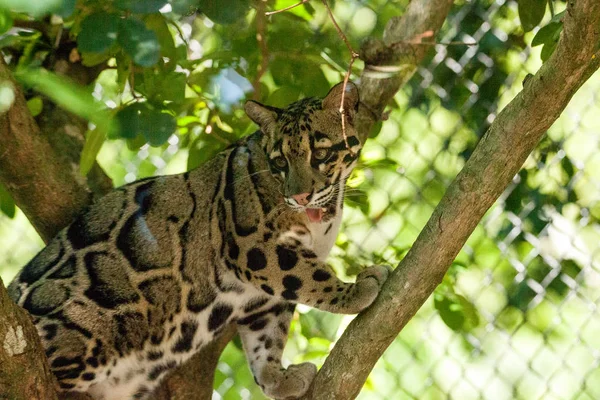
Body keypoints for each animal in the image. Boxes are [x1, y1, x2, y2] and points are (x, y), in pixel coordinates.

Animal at [8, 82, 390, 400]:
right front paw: (355, 291)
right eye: (280, 161)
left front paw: (276, 379)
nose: (299, 196)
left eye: (321, 155)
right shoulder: (254, 246)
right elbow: (311, 279)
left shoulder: (264, 297)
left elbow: (267, 337)